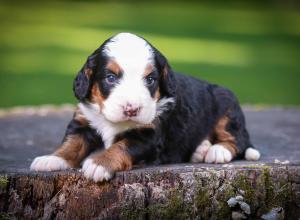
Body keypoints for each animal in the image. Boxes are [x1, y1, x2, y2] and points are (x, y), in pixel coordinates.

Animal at [30, 32, 260, 182]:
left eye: (150, 79)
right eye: (110, 77)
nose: (131, 109)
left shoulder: (148, 136)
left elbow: (121, 146)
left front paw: (99, 164)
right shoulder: (83, 121)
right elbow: (72, 144)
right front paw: (52, 159)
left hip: (227, 103)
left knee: (237, 140)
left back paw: (216, 151)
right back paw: (200, 150)